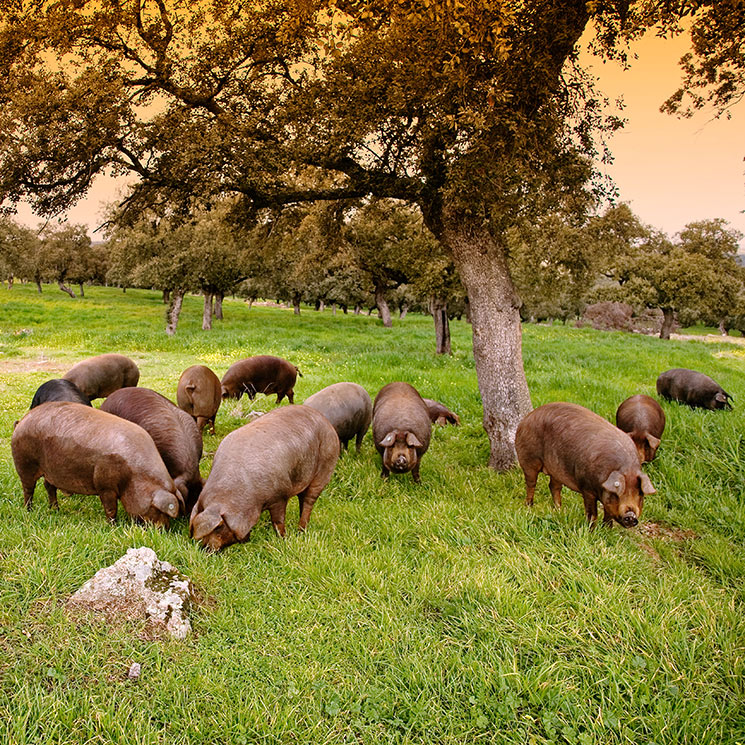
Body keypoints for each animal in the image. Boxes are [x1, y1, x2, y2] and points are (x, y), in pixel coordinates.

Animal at [12, 402, 183, 524]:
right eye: (157, 510)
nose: (163, 530)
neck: (135, 475)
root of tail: (21, 422)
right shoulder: (105, 485)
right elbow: (110, 508)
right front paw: (113, 526)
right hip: (24, 464)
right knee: (28, 489)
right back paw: (29, 510)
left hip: (50, 471)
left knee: (49, 487)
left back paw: (55, 510)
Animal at [187, 404, 338, 548]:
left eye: (218, 528)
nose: (205, 548)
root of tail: (327, 422)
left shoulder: (280, 495)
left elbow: (278, 521)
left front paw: (283, 539)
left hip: (325, 465)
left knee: (309, 501)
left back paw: (301, 531)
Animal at [516, 402, 652, 528]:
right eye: (618, 492)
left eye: (640, 494)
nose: (631, 515)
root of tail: (526, 418)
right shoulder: (587, 488)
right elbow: (592, 513)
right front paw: (591, 530)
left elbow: (608, 514)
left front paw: (607, 529)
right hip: (529, 458)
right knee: (531, 483)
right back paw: (529, 506)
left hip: (556, 469)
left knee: (554, 487)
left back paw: (559, 509)